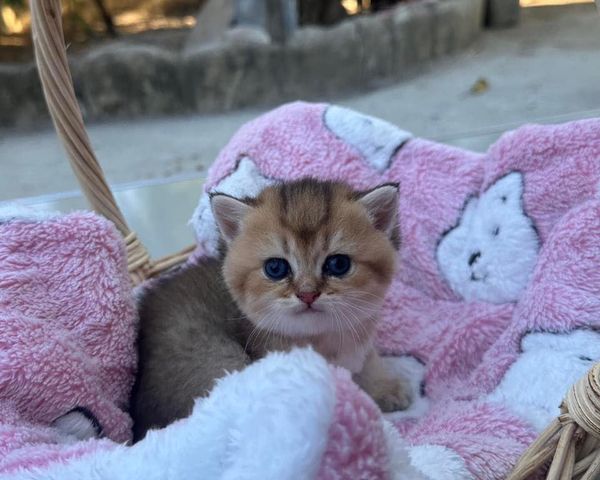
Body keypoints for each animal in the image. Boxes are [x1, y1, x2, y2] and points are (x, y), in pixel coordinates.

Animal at [130, 179, 412, 438]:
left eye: (338, 264)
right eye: (275, 268)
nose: (307, 294)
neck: (325, 338)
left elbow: (370, 359)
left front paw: (385, 387)